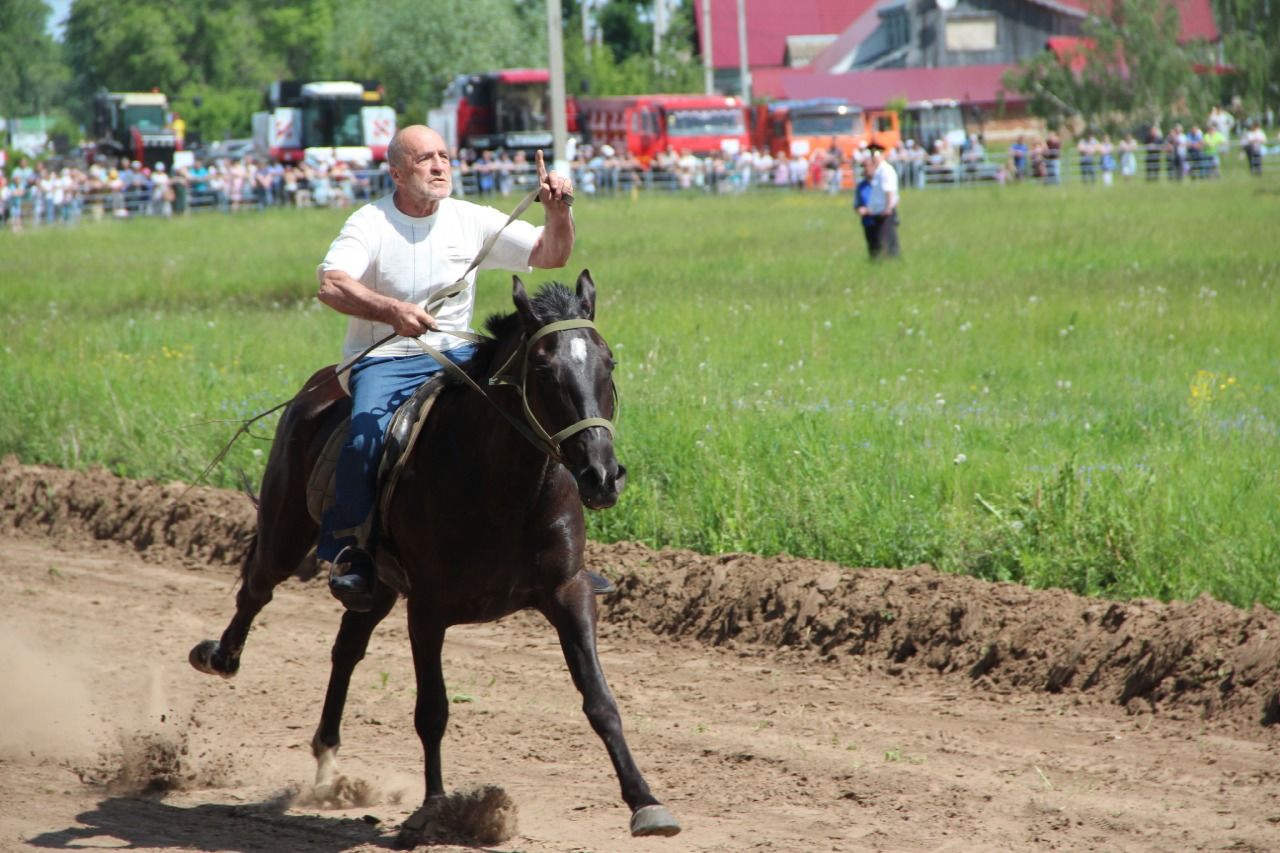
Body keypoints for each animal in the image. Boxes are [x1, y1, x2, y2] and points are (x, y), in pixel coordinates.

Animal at [186, 270, 680, 835]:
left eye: (608, 361)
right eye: (542, 367)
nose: (601, 475)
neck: (504, 485)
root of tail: (319, 387)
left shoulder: (569, 591)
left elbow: (600, 700)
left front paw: (645, 802)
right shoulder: (427, 608)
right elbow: (433, 710)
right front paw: (433, 807)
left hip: (376, 584)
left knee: (346, 647)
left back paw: (328, 761)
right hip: (285, 533)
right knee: (257, 588)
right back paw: (220, 658)